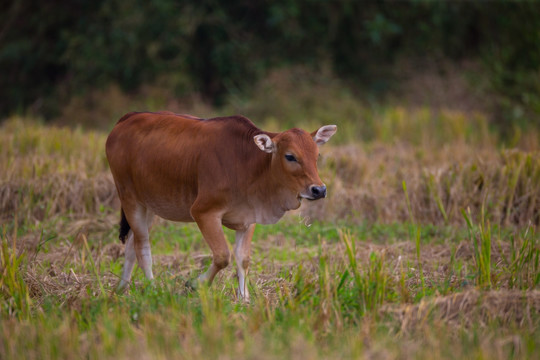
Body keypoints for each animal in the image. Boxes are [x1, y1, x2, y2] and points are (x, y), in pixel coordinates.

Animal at [104, 111, 338, 300]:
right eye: (290, 156)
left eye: (317, 155)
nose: (319, 190)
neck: (248, 163)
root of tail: (126, 119)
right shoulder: (203, 212)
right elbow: (223, 256)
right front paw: (195, 284)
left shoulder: (249, 218)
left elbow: (243, 259)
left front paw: (244, 299)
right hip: (129, 199)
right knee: (142, 246)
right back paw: (152, 288)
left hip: (150, 206)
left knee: (131, 246)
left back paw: (122, 289)